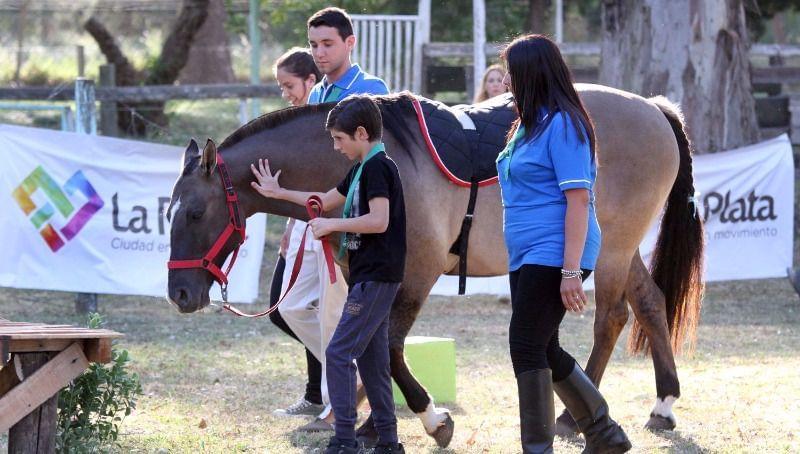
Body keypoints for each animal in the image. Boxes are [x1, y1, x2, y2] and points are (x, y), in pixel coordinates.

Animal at [167, 85, 700, 446]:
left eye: (194, 213)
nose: (179, 294)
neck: (381, 162)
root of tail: (653, 107)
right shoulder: (373, 277)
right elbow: (370, 350)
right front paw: (366, 419)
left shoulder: (415, 275)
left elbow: (391, 348)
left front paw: (429, 417)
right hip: (619, 250)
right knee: (650, 304)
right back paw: (663, 404)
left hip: (611, 250)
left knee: (611, 318)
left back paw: (574, 418)